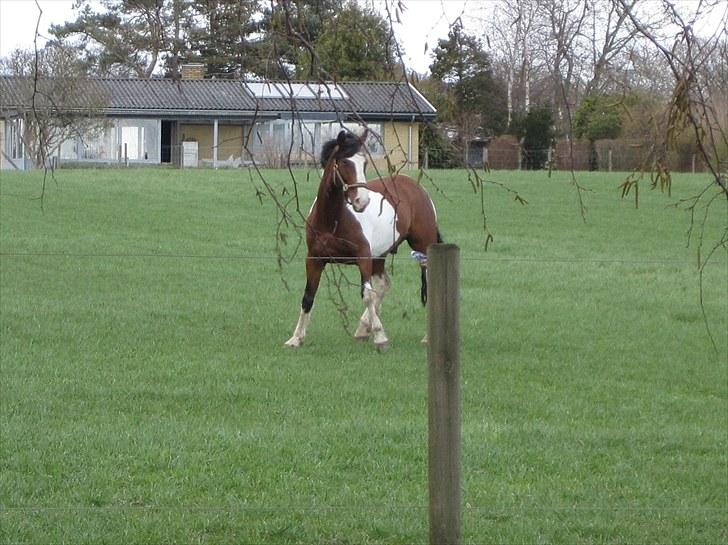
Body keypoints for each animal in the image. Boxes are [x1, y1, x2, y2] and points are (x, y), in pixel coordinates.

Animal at [284, 129, 444, 346]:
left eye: (365, 163)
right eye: (344, 162)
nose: (362, 201)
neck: (331, 221)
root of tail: (417, 188)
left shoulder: (363, 257)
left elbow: (367, 295)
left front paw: (380, 336)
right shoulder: (314, 259)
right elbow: (308, 296)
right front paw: (296, 338)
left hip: (422, 248)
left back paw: (426, 337)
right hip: (380, 256)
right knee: (383, 285)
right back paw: (362, 329)